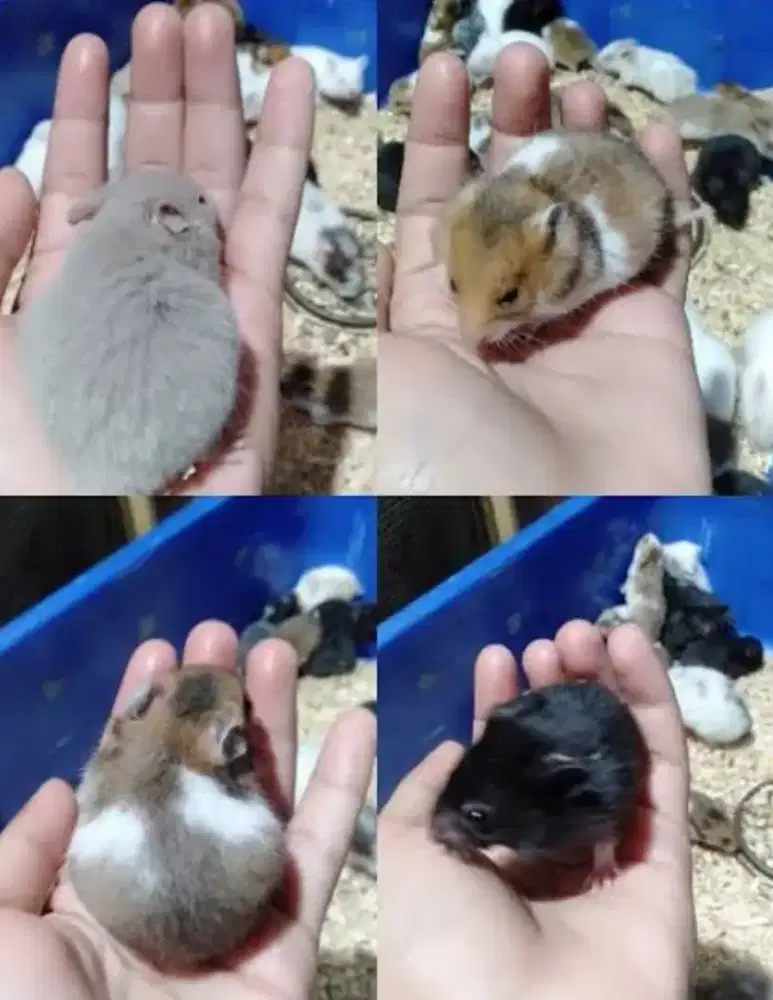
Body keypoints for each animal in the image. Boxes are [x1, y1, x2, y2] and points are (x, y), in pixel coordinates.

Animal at [431, 681, 645, 886]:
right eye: (453, 772)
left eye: (476, 816)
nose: (434, 834)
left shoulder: (612, 808)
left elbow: (605, 842)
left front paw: (601, 880)